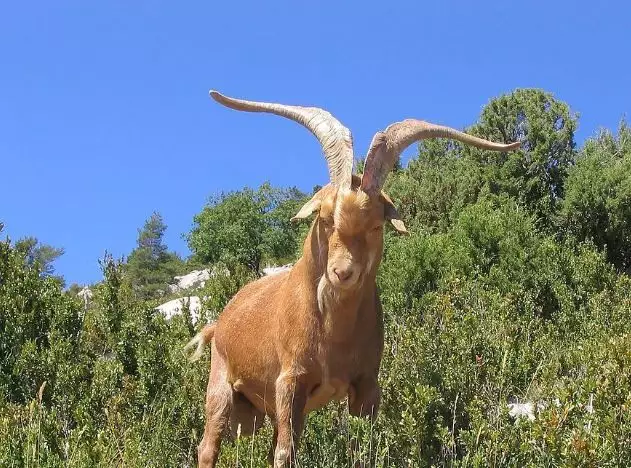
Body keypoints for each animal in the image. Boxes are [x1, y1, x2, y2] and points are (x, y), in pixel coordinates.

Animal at [185, 89, 520, 466]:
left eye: (376, 226)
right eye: (325, 218)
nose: (342, 272)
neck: (333, 333)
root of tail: (220, 322)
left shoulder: (366, 385)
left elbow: (361, 448)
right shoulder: (290, 380)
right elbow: (286, 453)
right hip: (221, 388)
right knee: (209, 446)